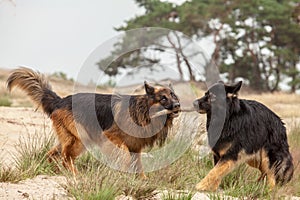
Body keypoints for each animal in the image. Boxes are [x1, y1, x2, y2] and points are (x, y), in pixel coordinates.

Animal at [7, 67, 180, 177]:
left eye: (174, 96)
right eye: (163, 98)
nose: (178, 105)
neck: (142, 111)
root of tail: (60, 100)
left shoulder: (135, 147)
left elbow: (139, 166)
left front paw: (141, 181)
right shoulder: (111, 137)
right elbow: (124, 157)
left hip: (71, 138)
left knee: (52, 154)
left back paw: (53, 170)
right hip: (80, 140)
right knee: (66, 158)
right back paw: (75, 175)